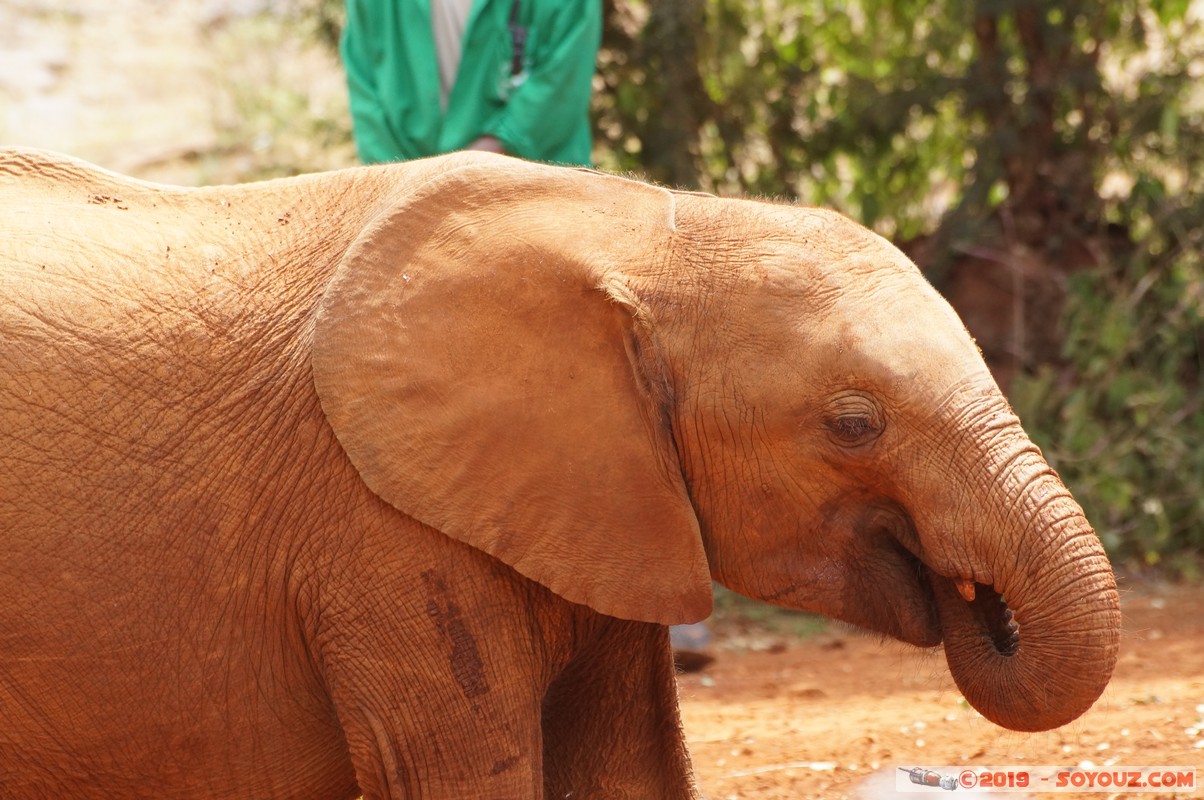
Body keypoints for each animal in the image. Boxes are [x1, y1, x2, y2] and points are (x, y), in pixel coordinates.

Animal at [0, 146, 1117, 795]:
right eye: (853, 424)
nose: (974, 594)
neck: (642, 227)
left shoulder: (604, 498)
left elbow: (628, 775)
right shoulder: (379, 530)